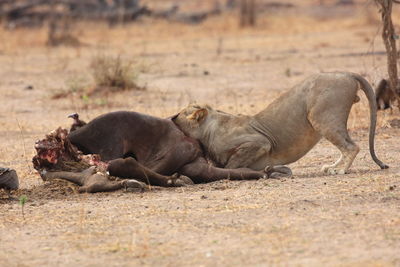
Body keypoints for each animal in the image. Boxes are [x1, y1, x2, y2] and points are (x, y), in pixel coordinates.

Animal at [173, 72, 390, 175]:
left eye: (183, 113)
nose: (172, 117)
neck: (209, 129)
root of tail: (345, 73)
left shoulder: (259, 142)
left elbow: (232, 164)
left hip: (322, 117)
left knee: (351, 146)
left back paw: (340, 170)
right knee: (345, 146)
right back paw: (330, 167)